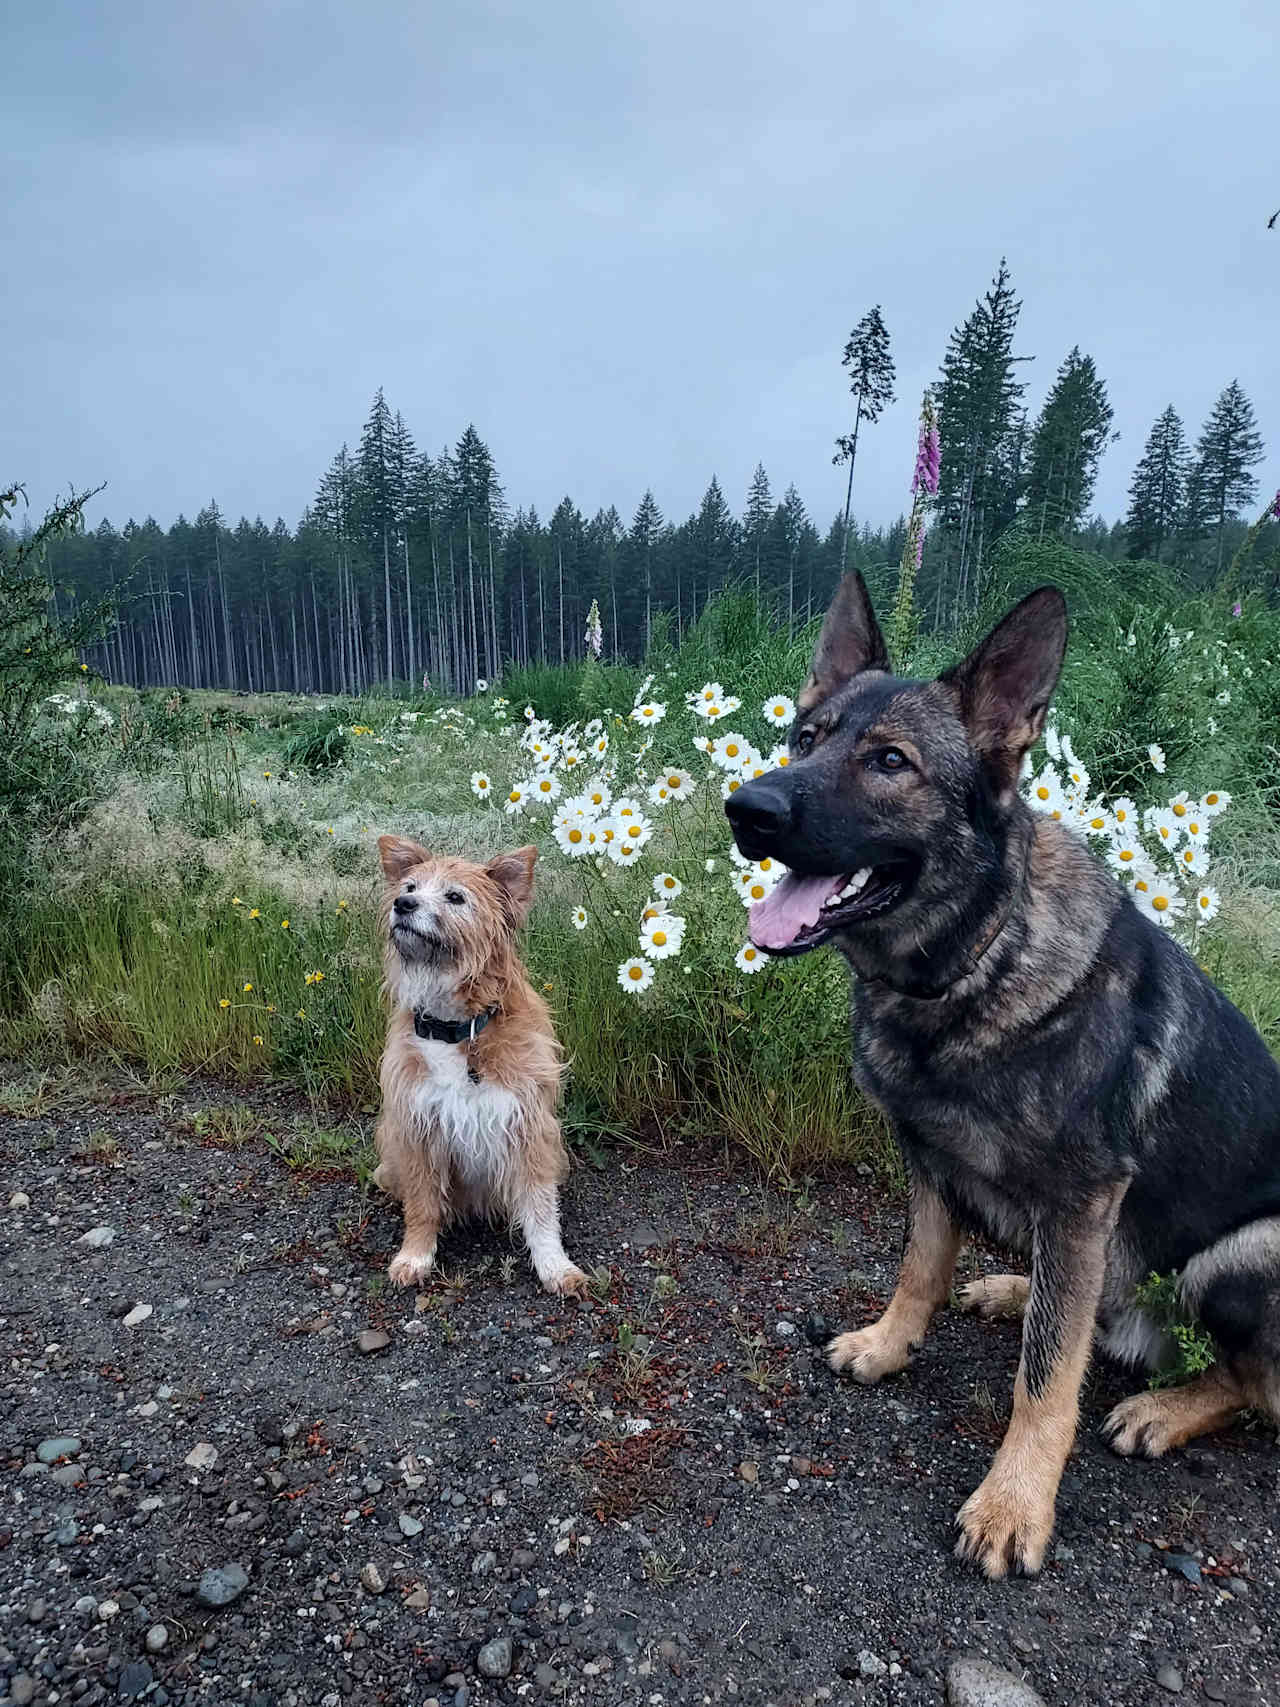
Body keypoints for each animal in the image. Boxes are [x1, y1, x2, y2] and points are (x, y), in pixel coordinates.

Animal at [727, 580, 1280, 1577]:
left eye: (890, 761)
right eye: (805, 737)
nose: (744, 809)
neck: (976, 957)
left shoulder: (1084, 1194)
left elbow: (1046, 1377)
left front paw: (1015, 1501)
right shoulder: (927, 1159)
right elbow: (922, 1266)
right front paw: (891, 1343)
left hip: (1243, 1253)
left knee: (1245, 1382)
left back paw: (1162, 1406)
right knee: (1090, 1304)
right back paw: (1018, 1290)